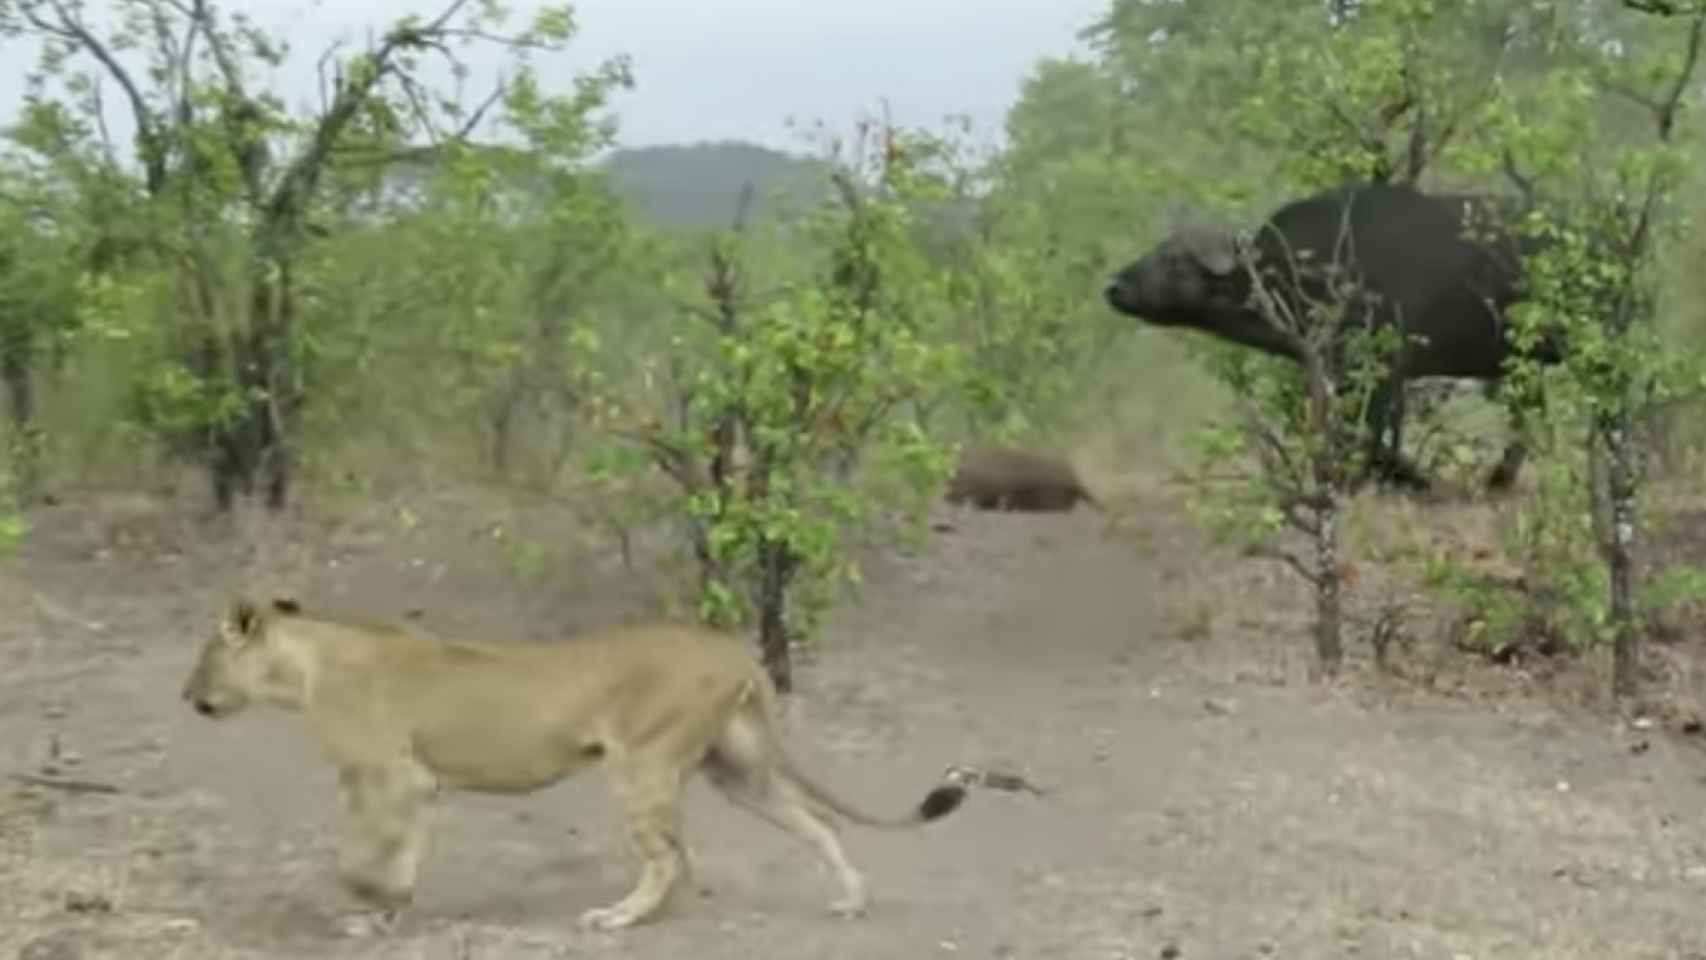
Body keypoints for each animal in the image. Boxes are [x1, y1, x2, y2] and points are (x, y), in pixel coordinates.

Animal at [1105, 182, 1562, 494]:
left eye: (1173, 260)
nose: (1114, 287)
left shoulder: (1380, 370)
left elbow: (1372, 435)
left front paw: (1400, 477)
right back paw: (1501, 478)